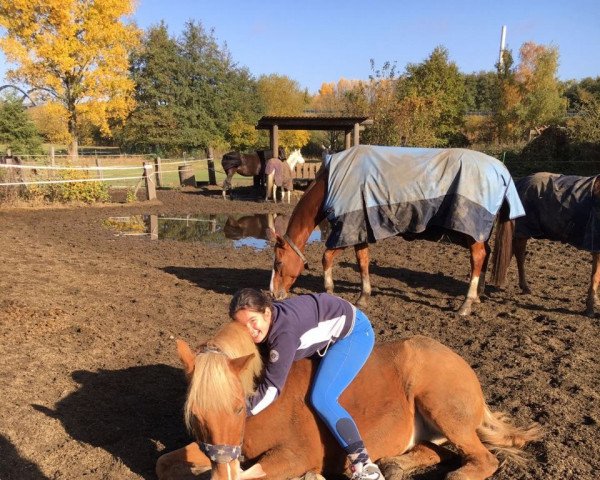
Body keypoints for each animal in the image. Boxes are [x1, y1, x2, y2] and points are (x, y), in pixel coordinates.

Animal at [155, 318, 540, 480]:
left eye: (238, 408)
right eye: (195, 416)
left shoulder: (295, 455)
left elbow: (250, 477)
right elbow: (164, 464)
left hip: (441, 407)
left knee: (483, 460)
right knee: (438, 451)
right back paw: (395, 464)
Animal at [268, 146, 524, 318]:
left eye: (278, 263)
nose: (273, 295)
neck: (332, 182)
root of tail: (500, 168)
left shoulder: (347, 228)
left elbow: (326, 256)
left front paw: (330, 291)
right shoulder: (361, 229)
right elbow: (362, 261)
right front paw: (364, 295)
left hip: (470, 231)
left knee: (478, 258)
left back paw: (467, 302)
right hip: (476, 232)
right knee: (485, 255)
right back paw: (478, 295)